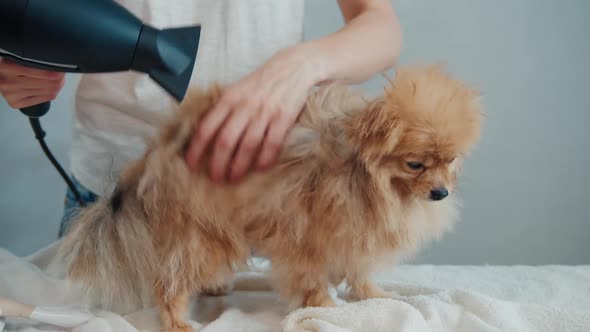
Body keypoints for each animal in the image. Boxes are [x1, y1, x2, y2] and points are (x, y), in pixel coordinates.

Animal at [59, 63, 486, 330]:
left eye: (451, 160)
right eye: (416, 164)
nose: (440, 192)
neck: (363, 175)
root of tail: (159, 152)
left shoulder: (353, 232)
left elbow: (359, 269)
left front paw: (375, 296)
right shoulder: (304, 233)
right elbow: (311, 277)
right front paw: (324, 306)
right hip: (199, 231)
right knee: (171, 280)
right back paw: (177, 320)